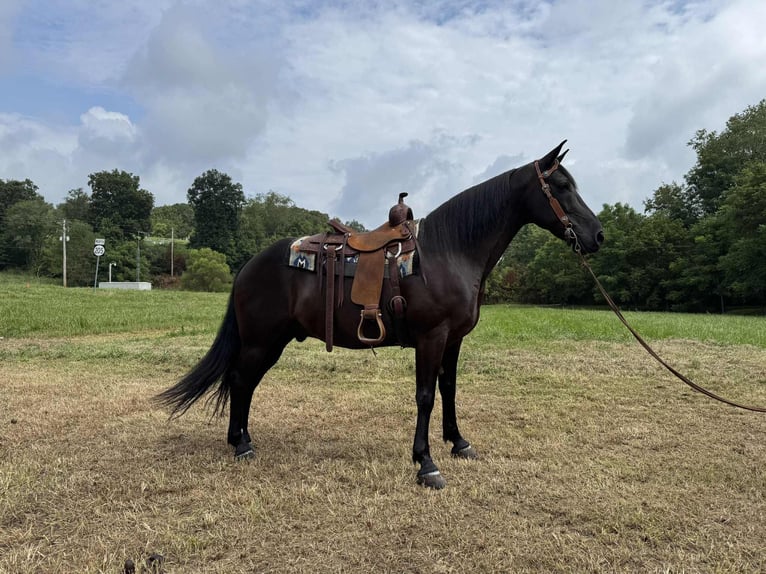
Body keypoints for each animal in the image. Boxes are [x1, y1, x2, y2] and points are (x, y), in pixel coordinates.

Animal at [157, 141, 604, 489]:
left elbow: (449, 390)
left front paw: (459, 443)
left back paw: (242, 440)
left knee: (244, 383)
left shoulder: (454, 339)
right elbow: (425, 396)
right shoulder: (431, 337)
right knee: (240, 381)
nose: (597, 235)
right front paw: (426, 464)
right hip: (260, 341)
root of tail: (249, 266)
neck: (449, 252)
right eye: (561, 186)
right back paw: (241, 444)